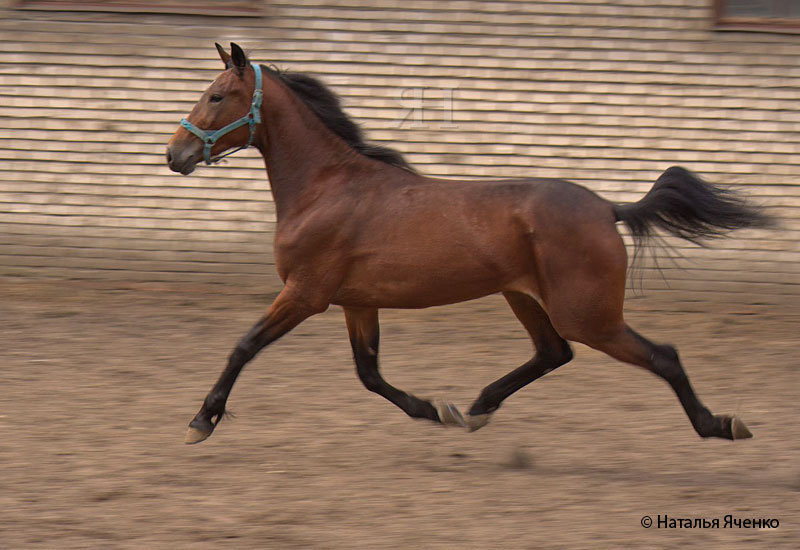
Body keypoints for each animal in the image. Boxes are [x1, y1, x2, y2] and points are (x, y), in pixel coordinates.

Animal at [167, 44, 768, 448]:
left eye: (217, 96)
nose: (174, 155)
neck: (325, 187)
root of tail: (607, 207)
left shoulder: (306, 293)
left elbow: (244, 346)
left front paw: (201, 421)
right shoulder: (356, 302)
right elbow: (369, 373)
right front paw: (435, 410)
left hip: (587, 314)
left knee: (659, 355)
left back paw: (721, 425)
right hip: (524, 297)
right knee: (553, 352)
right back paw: (476, 407)